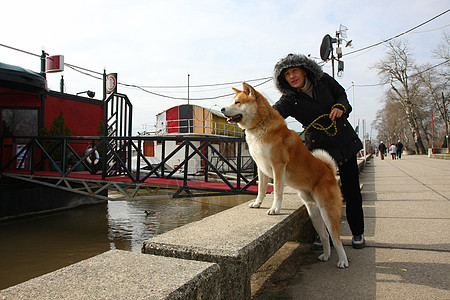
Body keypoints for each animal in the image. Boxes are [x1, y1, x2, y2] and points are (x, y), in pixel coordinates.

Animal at [221, 82, 348, 270]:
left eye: (237, 102)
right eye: (232, 101)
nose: (222, 109)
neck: (260, 126)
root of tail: (329, 171)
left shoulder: (278, 166)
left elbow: (277, 192)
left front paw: (275, 209)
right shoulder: (261, 167)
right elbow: (261, 190)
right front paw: (257, 204)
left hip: (328, 211)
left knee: (336, 238)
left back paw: (343, 260)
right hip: (314, 212)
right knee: (325, 236)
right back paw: (325, 255)